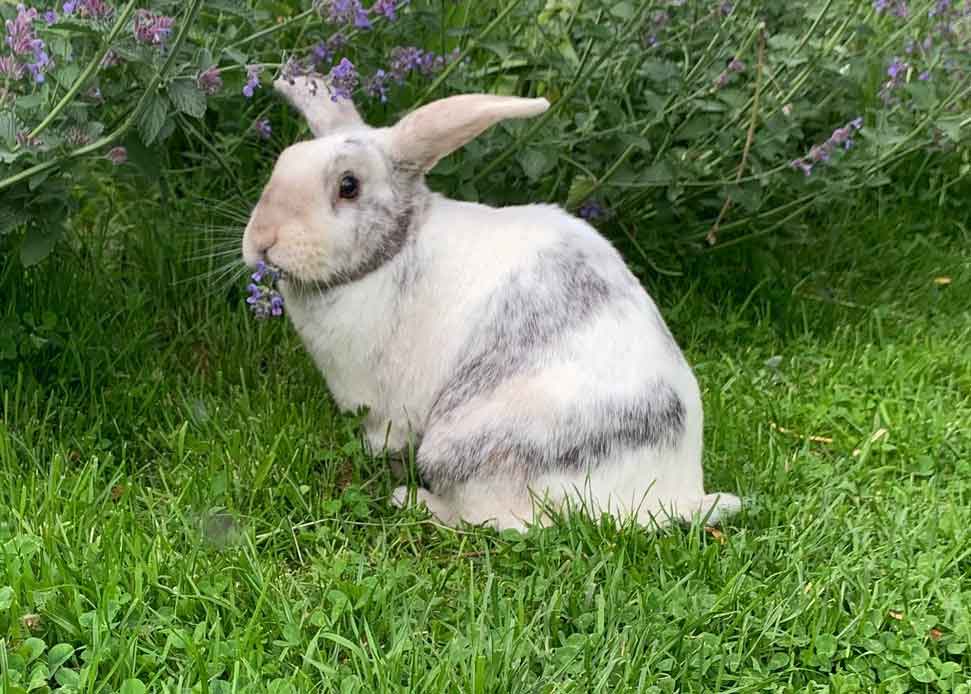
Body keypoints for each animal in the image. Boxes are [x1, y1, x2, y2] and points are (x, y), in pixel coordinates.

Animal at [241, 74, 741, 531]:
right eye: (283, 161)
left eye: (349, 185)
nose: (262, 240)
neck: (394, 250)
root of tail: (673, 494)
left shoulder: (384, 407)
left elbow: (382, 437)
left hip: (462, 447)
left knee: (499, 521)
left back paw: (413, 500)